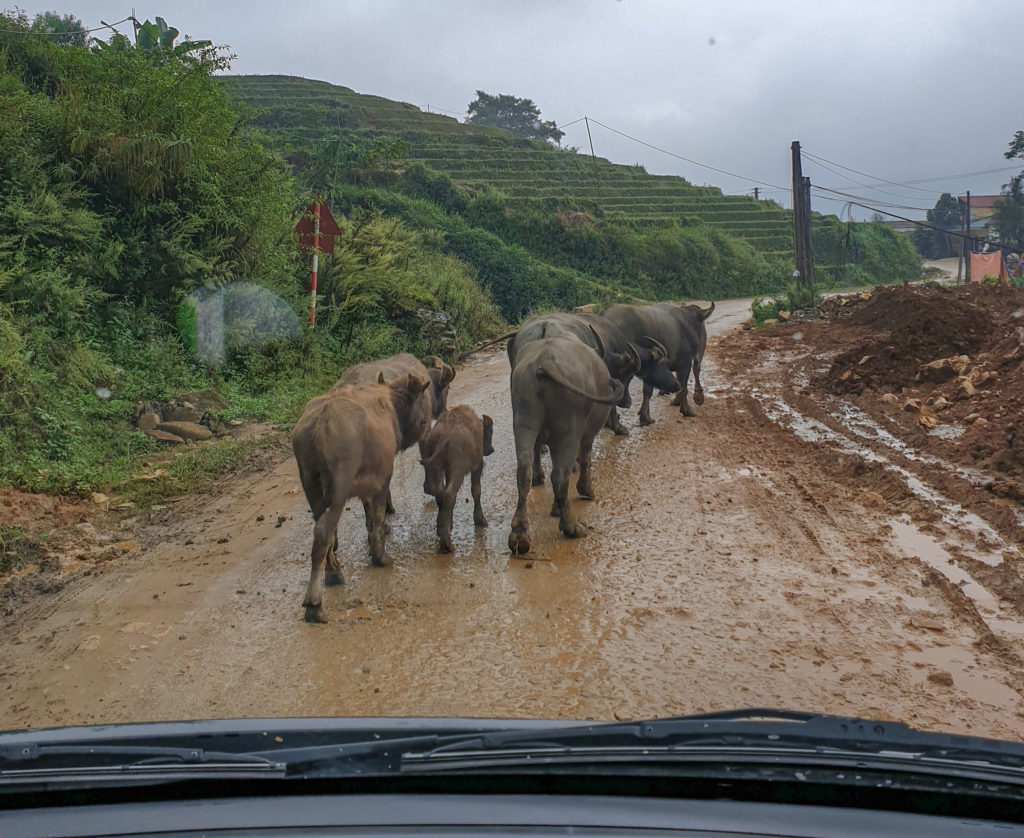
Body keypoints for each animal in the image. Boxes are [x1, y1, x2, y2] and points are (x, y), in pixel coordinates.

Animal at [290, 372, 430, 618]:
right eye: (421, 403)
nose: (425, 424)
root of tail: (320, 422)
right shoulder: (382, 479)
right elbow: (377, 515)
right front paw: (379, 554)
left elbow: (369, 513)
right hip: (338, 490)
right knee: (323, 532)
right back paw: (315, 601)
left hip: (312, 486)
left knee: (324, 530)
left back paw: (333, 571)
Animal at [417, 403, 493, 553]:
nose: (491, 449)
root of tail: (444, 435)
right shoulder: (477, 466)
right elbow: (476, 491)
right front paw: (480, 520)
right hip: (457, 470)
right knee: (449, 494)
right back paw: (446, 544)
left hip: (437, 468)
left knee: (439, 493)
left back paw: (442, 529)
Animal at [509, 336, 622, 553]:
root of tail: (544, 361)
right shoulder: (587, 434)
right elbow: (585, 459)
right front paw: (586, 490)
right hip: (569, 430)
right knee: (560, 476)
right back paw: (571, 527)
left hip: (523, 419)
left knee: (524, 471)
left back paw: (519, 534)